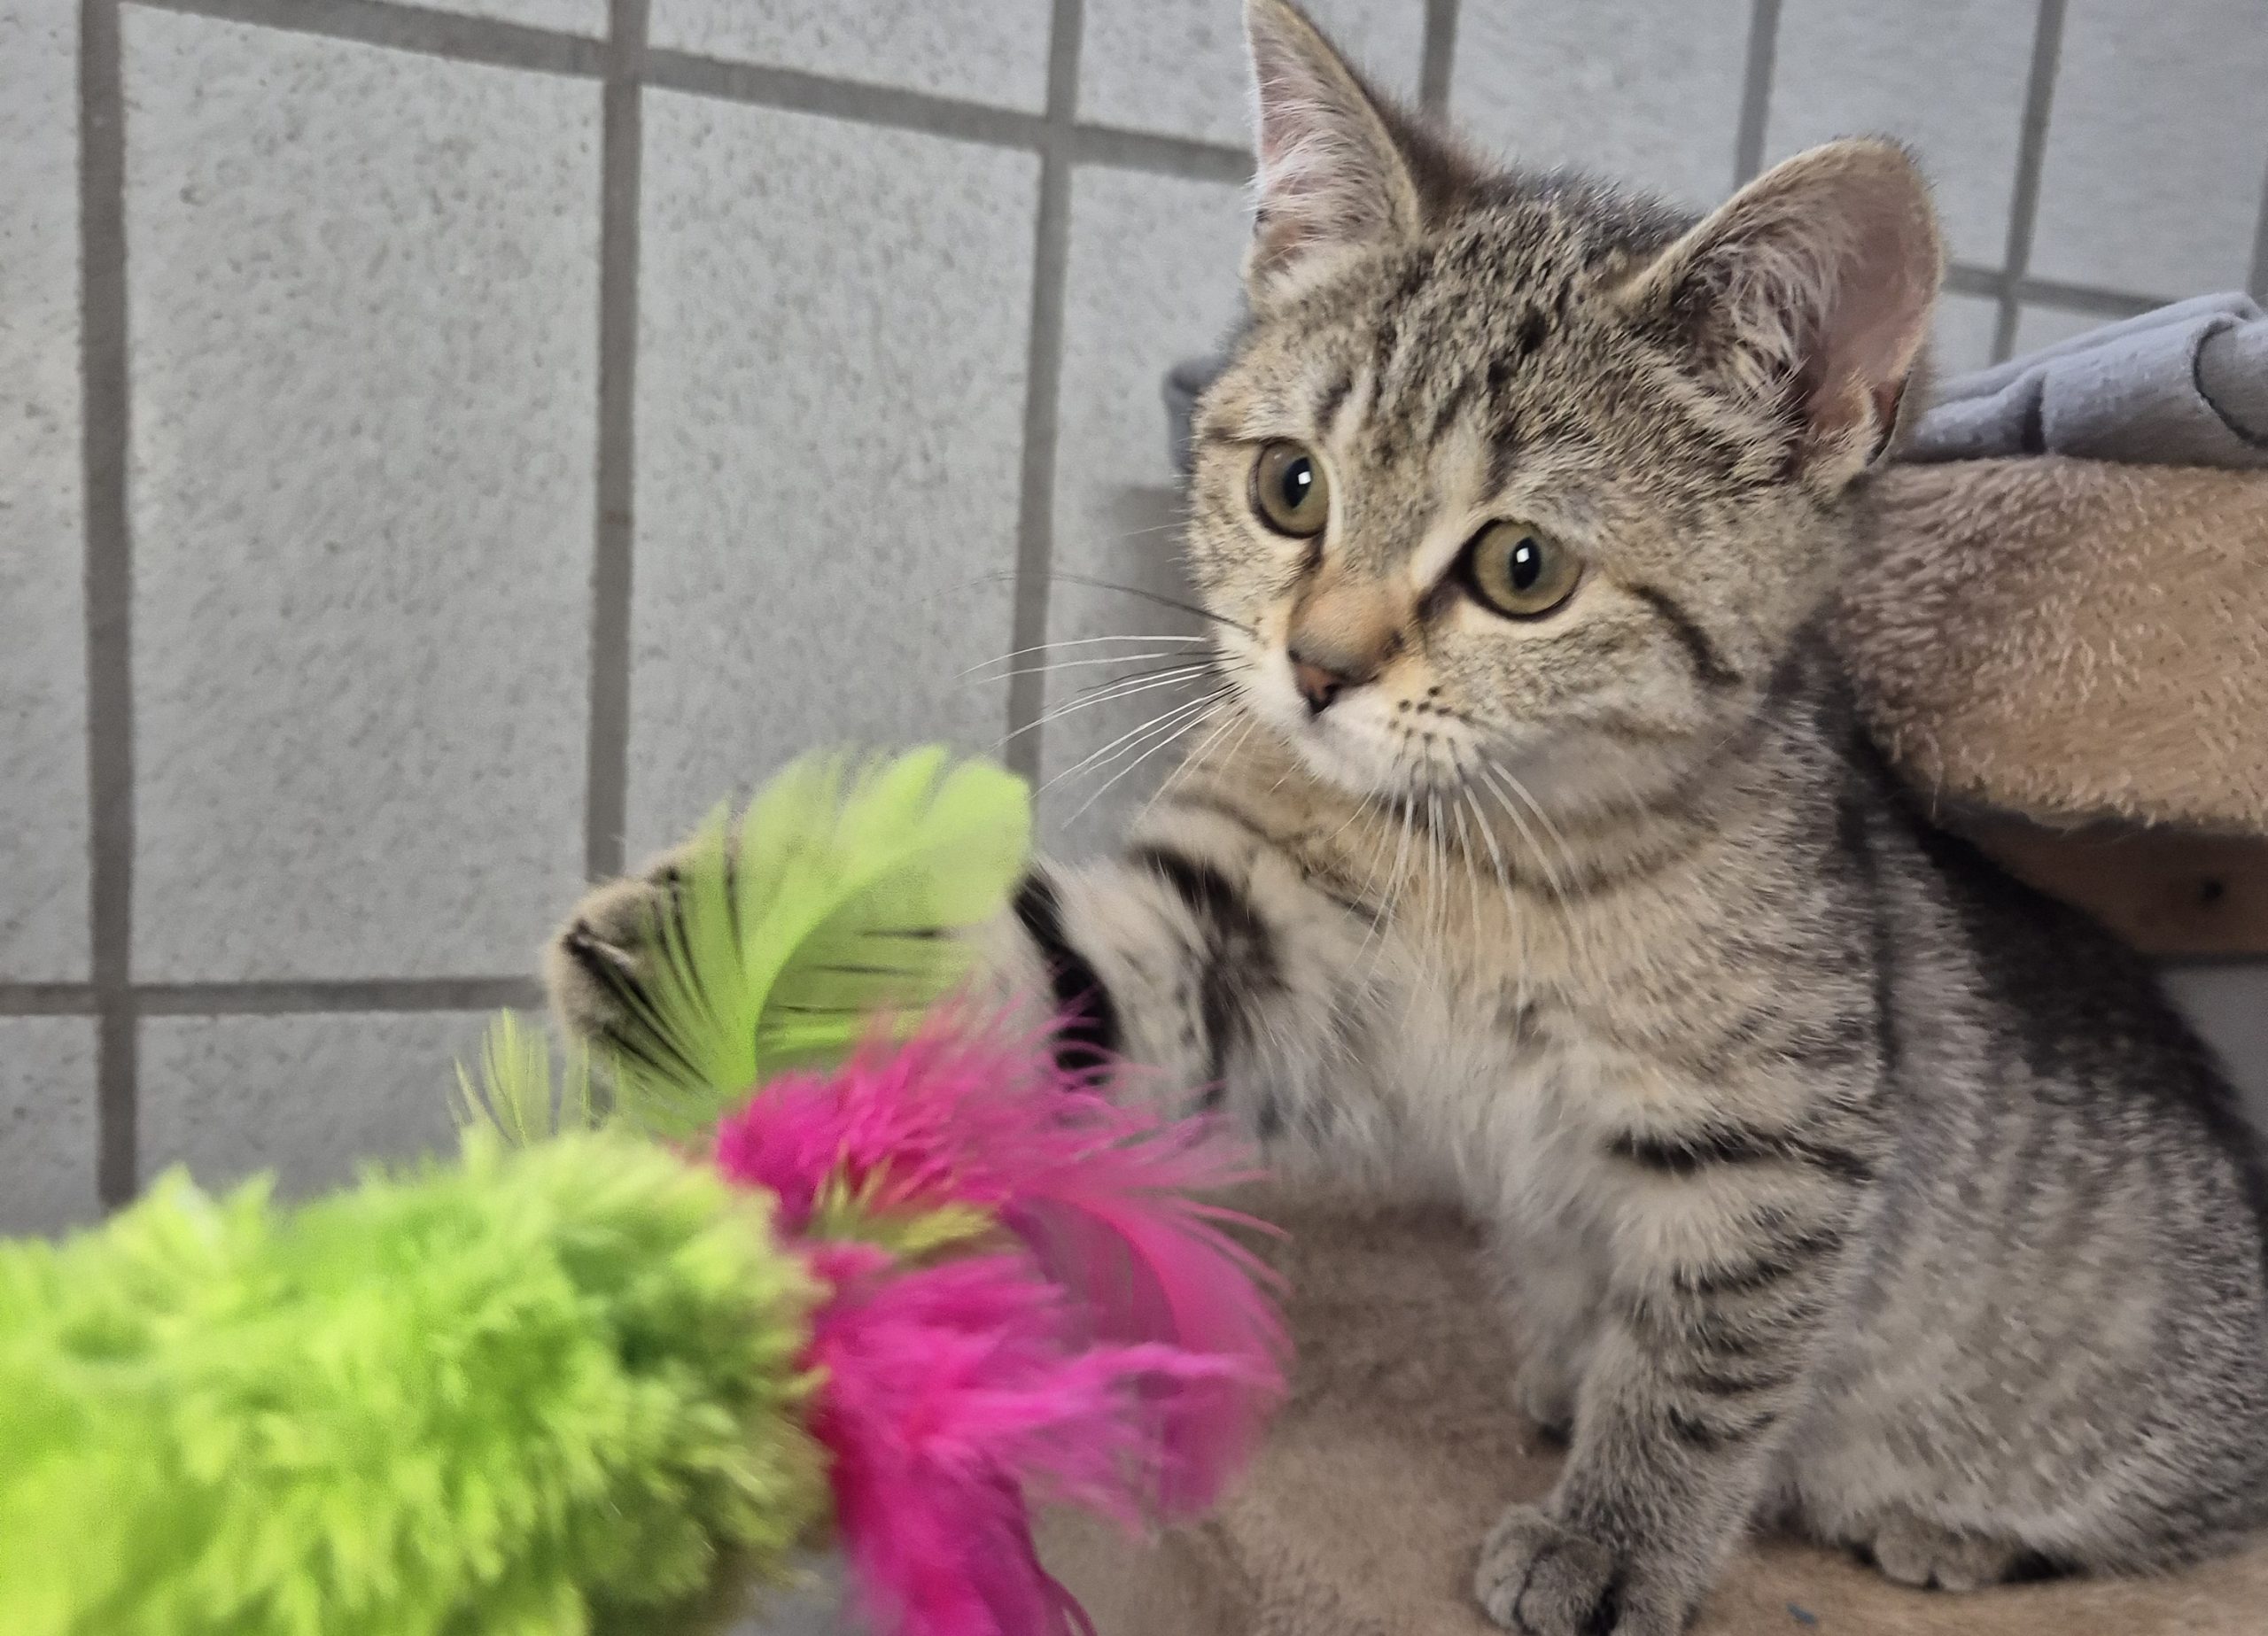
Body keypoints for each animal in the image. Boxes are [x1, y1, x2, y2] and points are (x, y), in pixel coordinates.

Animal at [546, 3, 2268, 1632]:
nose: (1315, 666)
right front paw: (725, 943)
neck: (1477, 855)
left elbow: (1709, 1365)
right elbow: (1065, 971)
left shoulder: (1782, 1133)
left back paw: (1948, 1530)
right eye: (1290, 487)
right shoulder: (1238, 938)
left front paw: (1616, 1538)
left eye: (1522, 569)